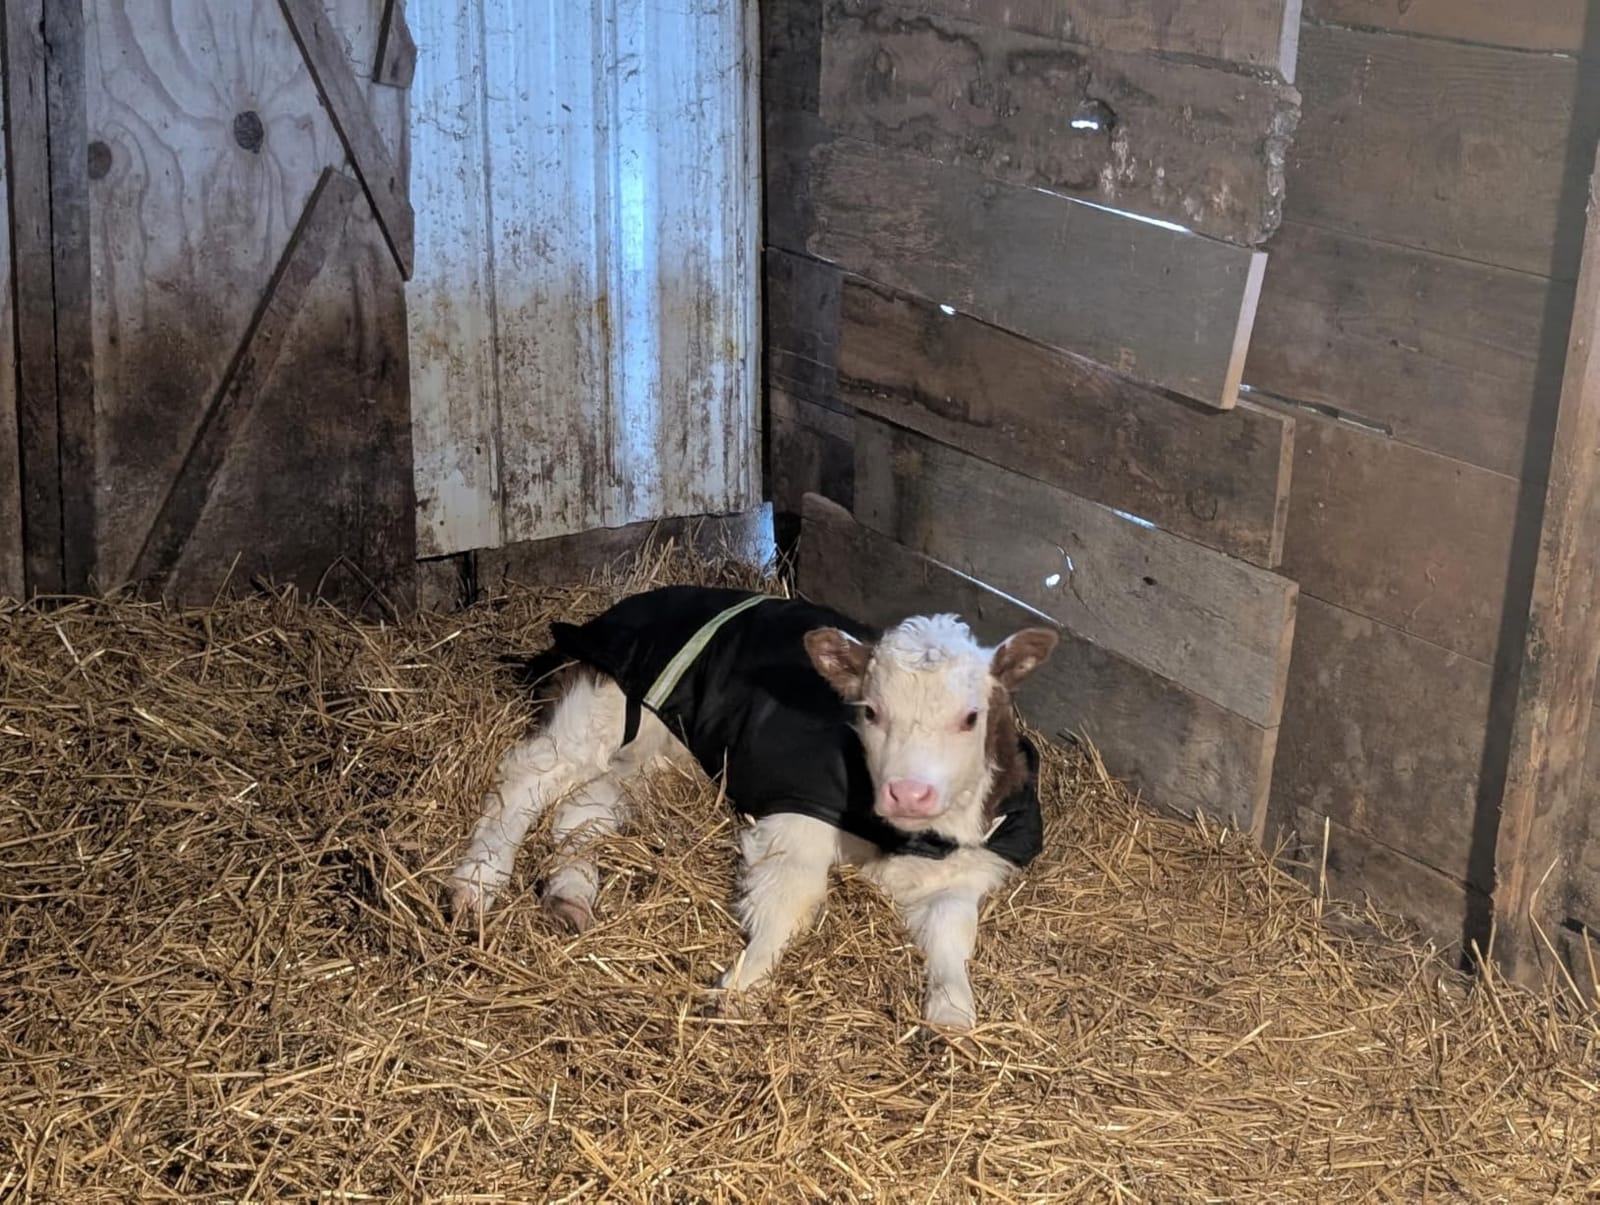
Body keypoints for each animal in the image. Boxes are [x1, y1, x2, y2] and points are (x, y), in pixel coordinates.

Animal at [448, 584, 1059, 1029]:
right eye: (870, 711)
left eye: (971, 717)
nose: (908, 792)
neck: (899, 837)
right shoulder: (795, 817)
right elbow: (790, 899)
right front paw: (742, 987)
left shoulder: (967, 870)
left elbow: (954, 937)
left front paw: (953, 1014)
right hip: (601, 707)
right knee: (525, 780)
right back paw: (475, 884)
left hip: (660, 752)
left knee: (585, 807)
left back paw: (569, 895)